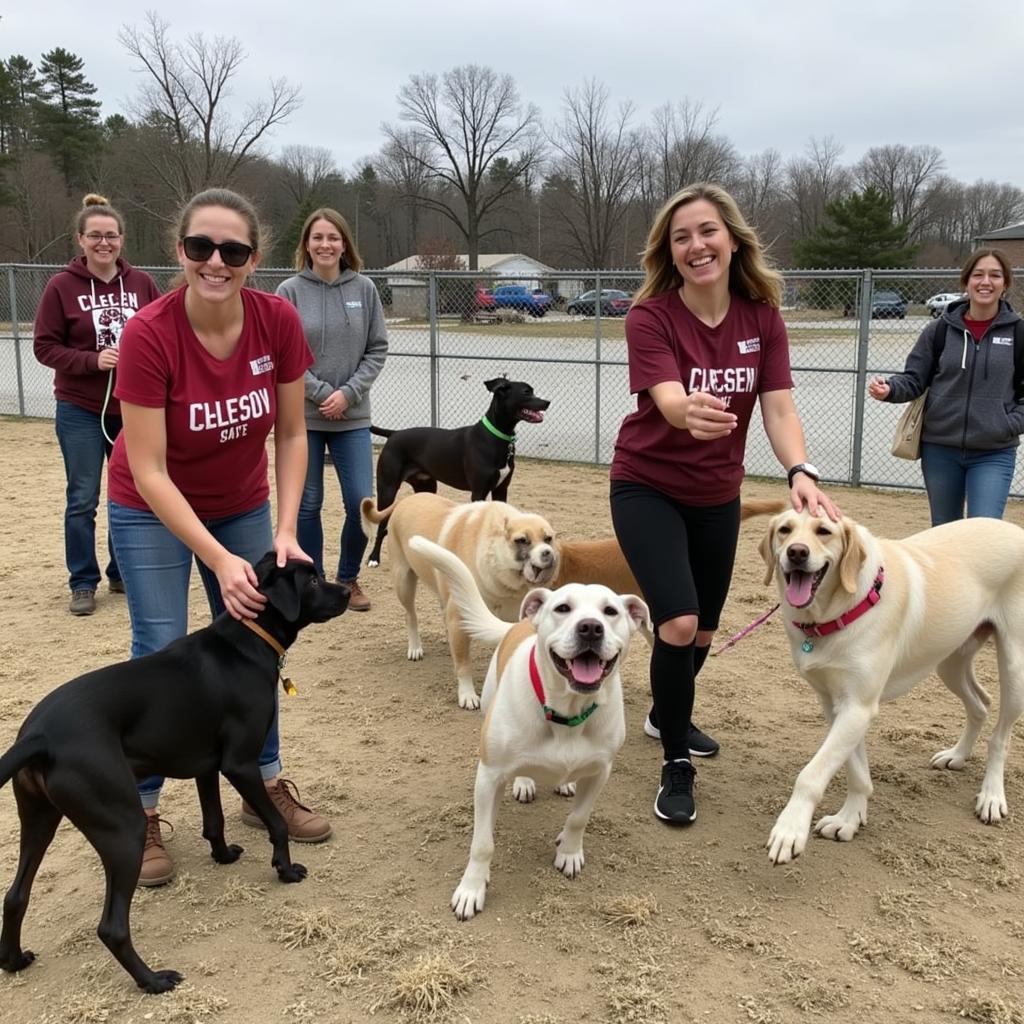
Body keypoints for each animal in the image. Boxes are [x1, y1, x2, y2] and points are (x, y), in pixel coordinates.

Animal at [0, 552, 350, 991]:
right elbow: (277, 823)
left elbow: (214, 821)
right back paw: (153, 980)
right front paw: (285, 870)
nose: (348, 591)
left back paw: (13, 960)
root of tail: (40, 736)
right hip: (123, 827)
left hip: (39, 819)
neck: (246, 641)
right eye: (314, 580)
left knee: (15, 896)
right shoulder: (240, 764)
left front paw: (223, 856)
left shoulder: (207, 767)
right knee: (111, 927)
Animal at [356, 493, 557, 704]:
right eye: (522, 540)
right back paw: (415, 647)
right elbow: (463, 665)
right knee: (410, 615)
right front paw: (467, 695)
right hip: (404, 581)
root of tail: (407, 498)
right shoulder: (460, 619)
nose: (548, 553)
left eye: (548, 538)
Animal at [364, 378, 548, 569]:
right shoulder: (479, 491)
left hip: (426, 487)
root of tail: (394, 434)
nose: (547, 402)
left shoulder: (501, 489)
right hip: (387, 489)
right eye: (526, 392)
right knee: (381, 525)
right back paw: (374, 558)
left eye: (532, 390)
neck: (495, 438)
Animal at [407, 532, 647, 925]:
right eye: (563, 608)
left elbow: (579, 817)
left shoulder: (601, 771)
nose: (590, 628)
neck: (566, 711)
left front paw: (569, 852)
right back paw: (523, 782)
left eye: (610, 612)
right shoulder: (488, 776)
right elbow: (483, 843)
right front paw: (472, 889)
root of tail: (519, 623)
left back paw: (564, 783)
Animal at [757, 509, 1024, 864]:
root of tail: (1014, 529)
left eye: (824, 531)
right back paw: (956, 755)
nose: (796, 552)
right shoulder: (837, 705)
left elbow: (812, 775)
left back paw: (992, 796)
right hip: (949, 662)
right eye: (785, 530)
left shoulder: (858, 706)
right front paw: (849, 819)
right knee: (980, 704)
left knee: (1000, 738)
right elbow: (855, 770)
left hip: (1014, 667)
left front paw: (790, 830)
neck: (837, 611)